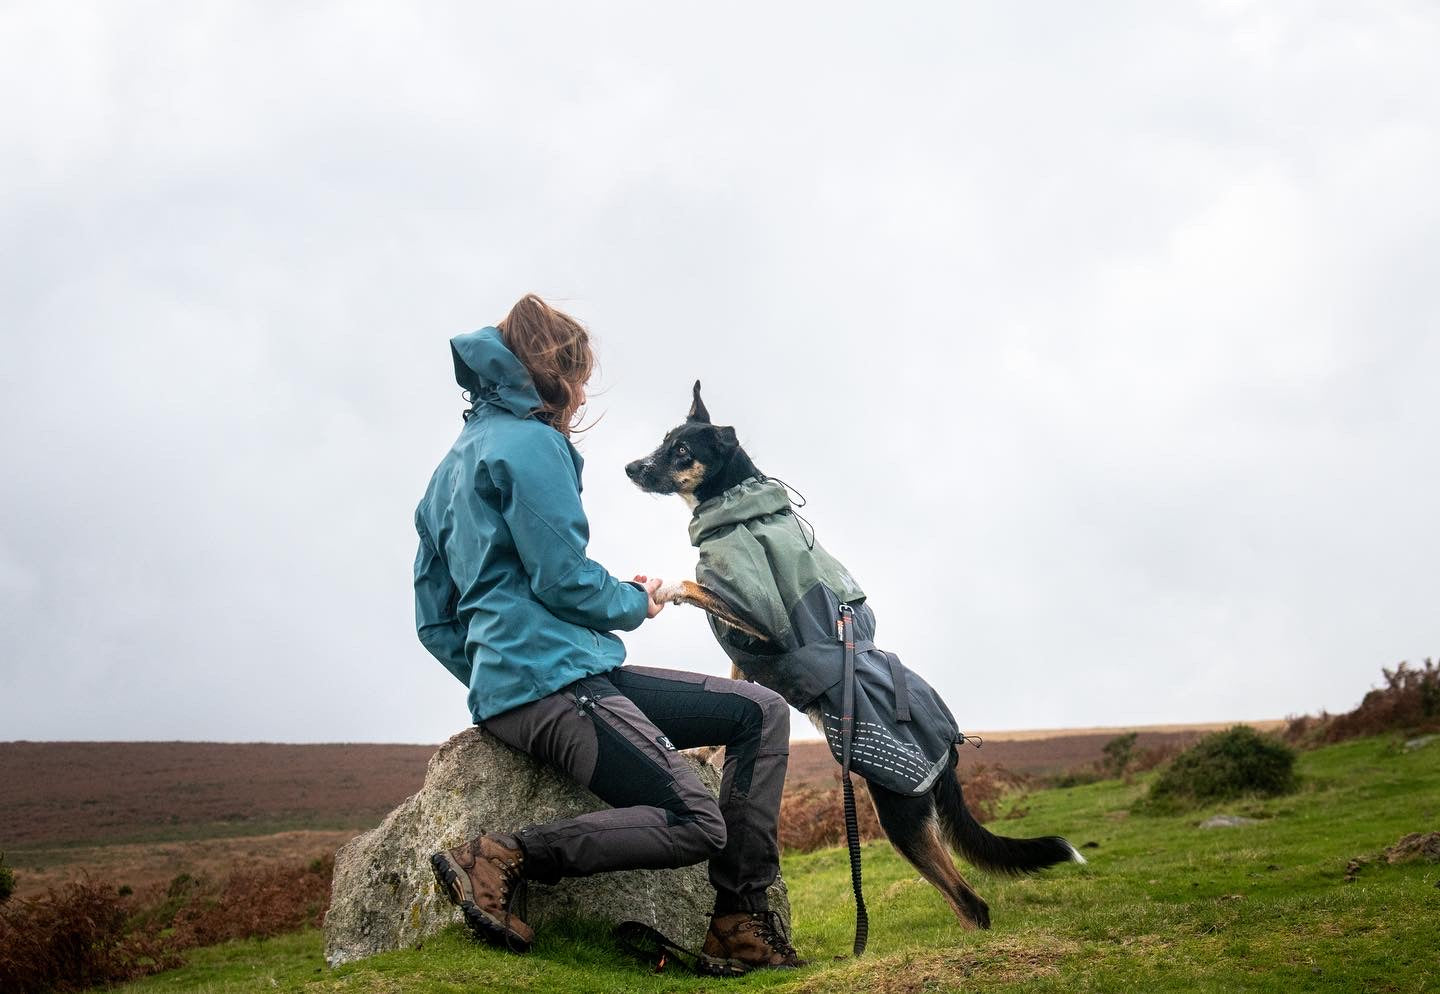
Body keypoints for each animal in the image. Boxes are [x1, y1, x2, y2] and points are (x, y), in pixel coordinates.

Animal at [624, 380, 1082, 927]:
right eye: (664, 442)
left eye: (682, 451)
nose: (630, 469)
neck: (738, 506)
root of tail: (949, 748)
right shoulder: (748, 651)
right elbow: (736, 686)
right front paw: (702, 754)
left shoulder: (759, 621)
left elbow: (691, 585)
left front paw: (664, 586)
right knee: (963, 900)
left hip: (898, 812)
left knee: (972, 901)